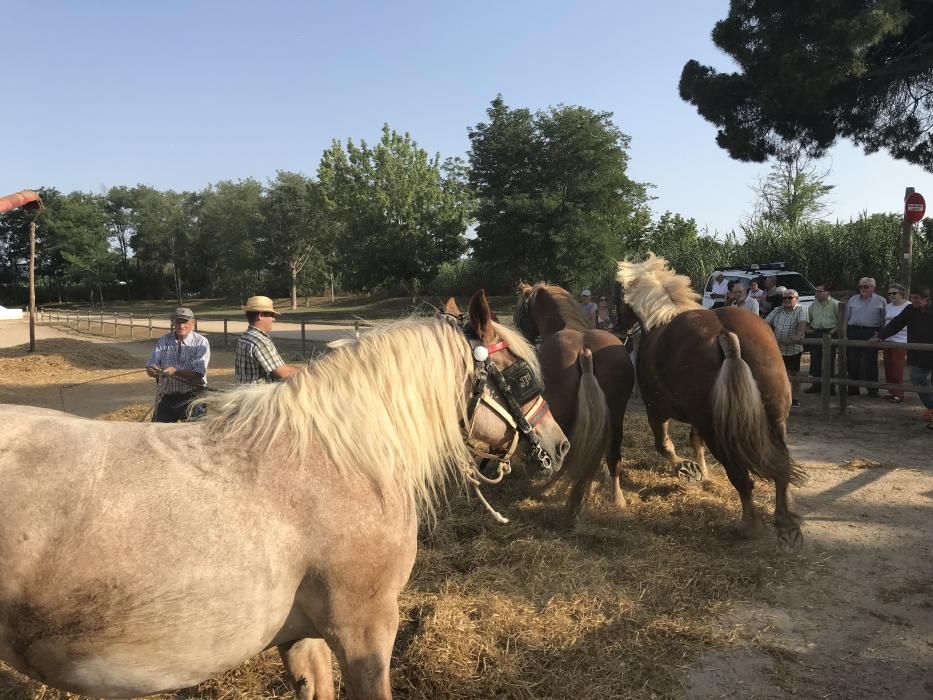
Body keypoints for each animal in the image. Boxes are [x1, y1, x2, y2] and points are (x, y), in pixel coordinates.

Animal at [512, 282, 636, 516]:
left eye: (521, 313)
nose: (522, 339)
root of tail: (585, 352)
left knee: (564, 450)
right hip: (616, 414)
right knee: (613, 450)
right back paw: (617, 497)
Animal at [616, 254, 804, 548]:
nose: (617, 327)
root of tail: (726, 335)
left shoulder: (655, 411)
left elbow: (665, 446)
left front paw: (687, 469)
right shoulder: (696, 419)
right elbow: (695, 443)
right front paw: (701, 473)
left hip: (719, 432)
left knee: (741, 478)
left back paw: (750, 526)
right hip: (776, 420)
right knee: (781, 469)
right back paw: (785, 522)